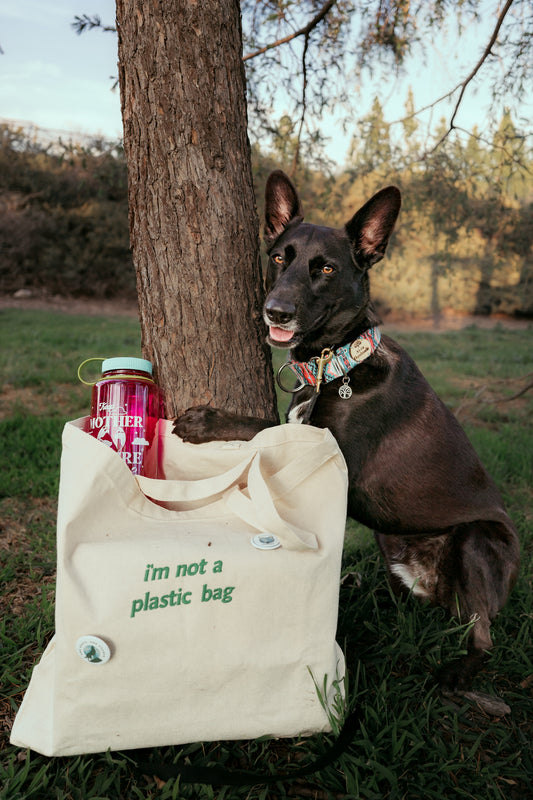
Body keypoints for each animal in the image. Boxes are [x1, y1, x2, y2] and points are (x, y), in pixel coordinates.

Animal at [175, 170, 520, 692]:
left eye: (327, 269)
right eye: (280, 257)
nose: (275, 311)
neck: (335, 365)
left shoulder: (329, 452)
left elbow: (264, 429)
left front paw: (205, 421)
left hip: (477, 540)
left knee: (482, 638)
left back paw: (455, 672)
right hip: (390, 541)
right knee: (413, 608)